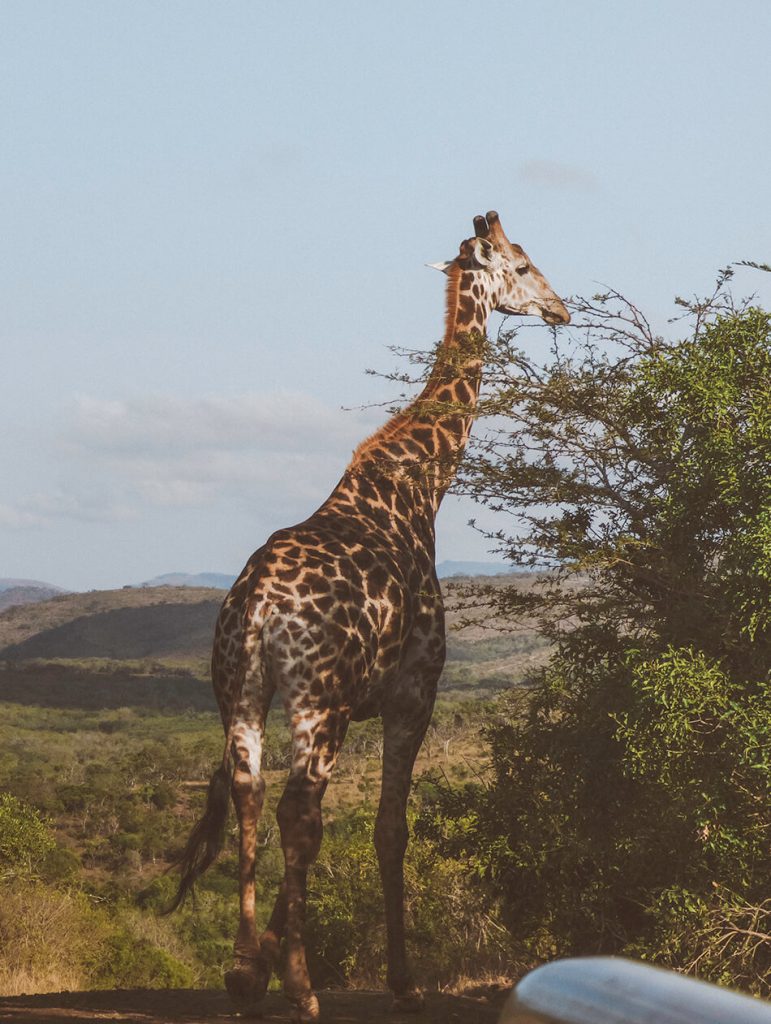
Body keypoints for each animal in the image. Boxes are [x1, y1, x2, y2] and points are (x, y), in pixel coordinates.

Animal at [170, 211, 569, 1019]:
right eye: (522, 262)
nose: (561, 308)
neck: (420, 485)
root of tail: (257, 609)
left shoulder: (356, 703)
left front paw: (263, 961)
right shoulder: (412, 692)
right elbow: (390, 828)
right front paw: (402, 980)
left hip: (240, 690)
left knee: (254, 796)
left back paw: (245, 973)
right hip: (313, 700)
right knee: (298, 809)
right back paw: (301, 988)